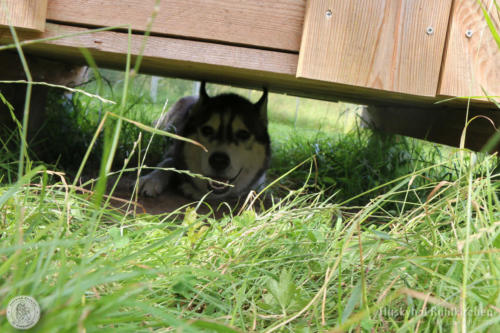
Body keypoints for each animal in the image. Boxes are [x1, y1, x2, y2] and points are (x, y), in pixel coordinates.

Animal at [138, 81, 270, 201]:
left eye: (243, 134)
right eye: (207, 130)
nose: (219, 161)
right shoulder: (174, 150)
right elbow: (168, 161)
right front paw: (151, 179)